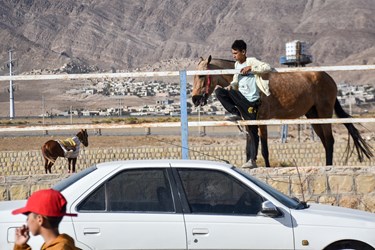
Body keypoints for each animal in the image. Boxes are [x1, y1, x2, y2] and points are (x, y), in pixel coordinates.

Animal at [194, 55, 374, 167]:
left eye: (201, 76)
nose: (195, 99)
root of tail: (329, 78)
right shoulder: (248, 121)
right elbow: (249, 148)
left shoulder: (262, 121)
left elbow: (264, 149)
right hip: (313, 115)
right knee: (325, 141)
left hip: (324, 113)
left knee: (329, 141)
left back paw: (328, 166)